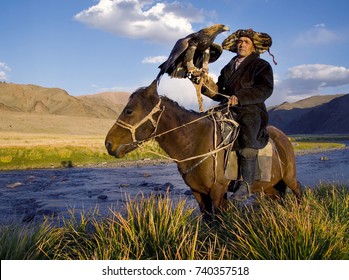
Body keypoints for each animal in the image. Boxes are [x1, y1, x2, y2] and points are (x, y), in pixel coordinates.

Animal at [104, 80, 302, 215]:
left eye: (129, 110)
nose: (108, 144)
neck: (194, 142)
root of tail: (283, 138)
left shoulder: (218, 192)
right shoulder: (198, 193)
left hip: (289, 177)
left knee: (298, 190)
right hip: (269, 186)